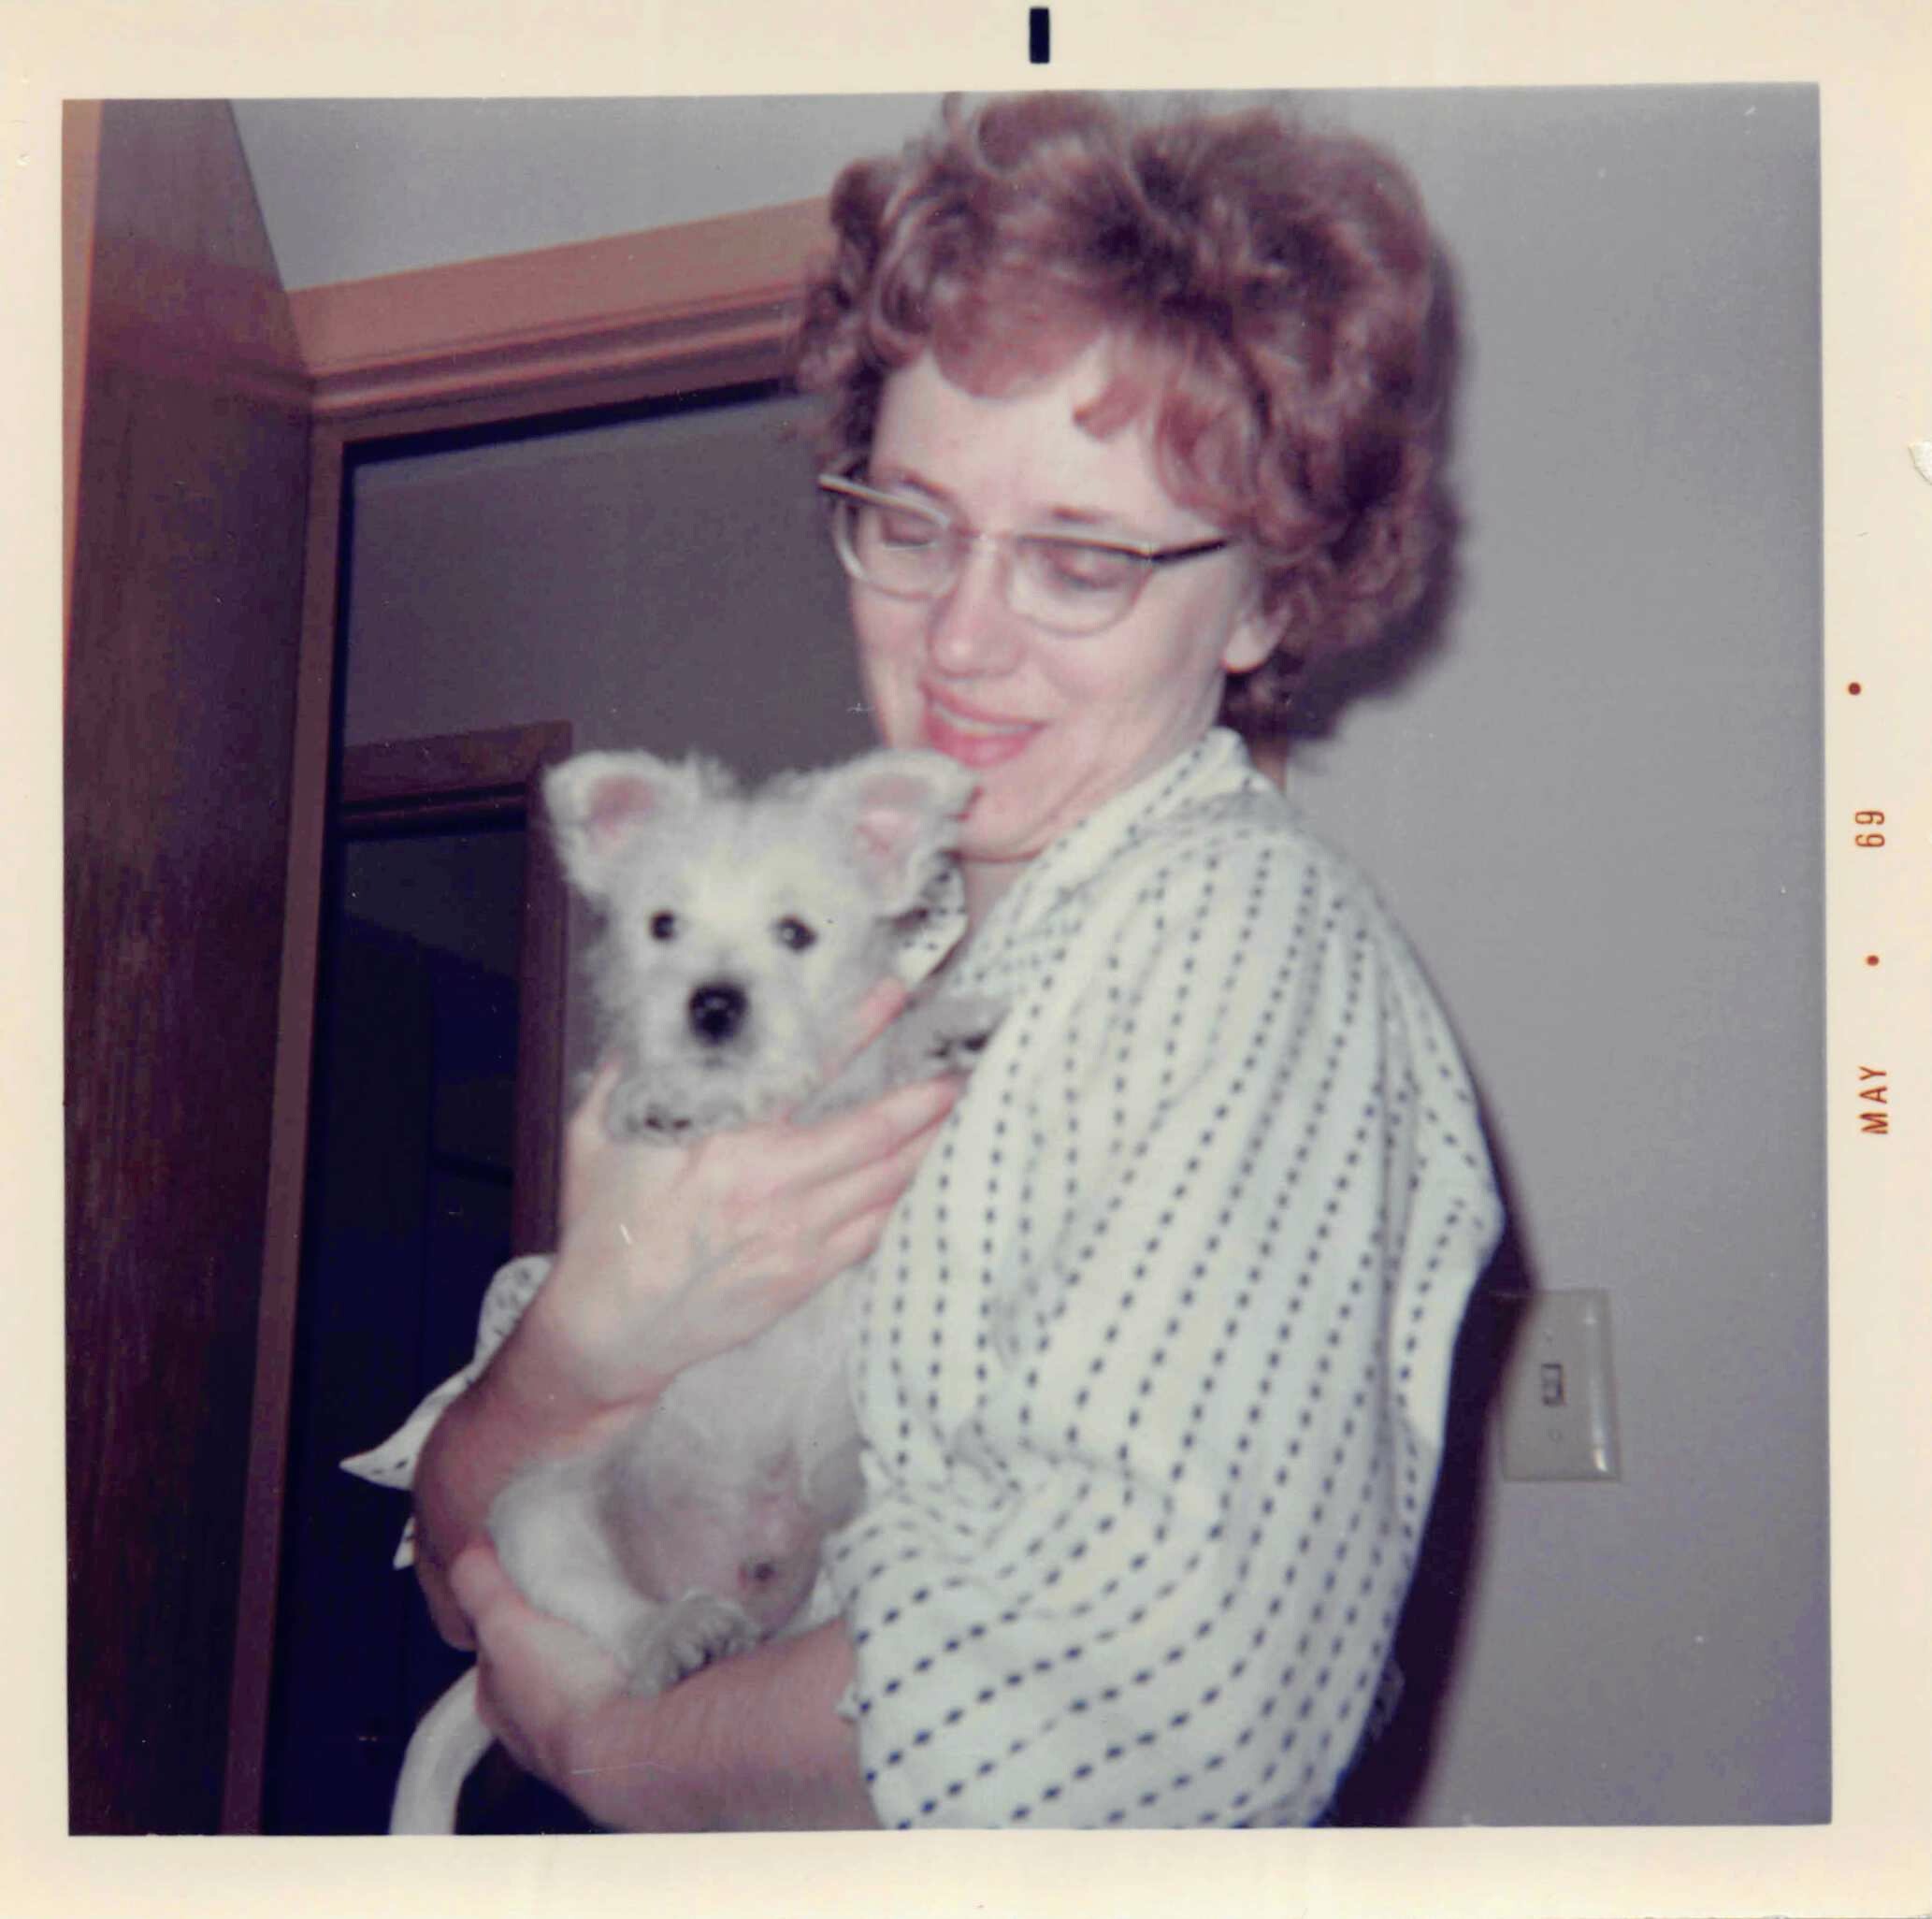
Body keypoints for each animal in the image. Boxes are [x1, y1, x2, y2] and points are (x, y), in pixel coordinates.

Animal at [387, 746, 995, 1833]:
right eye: (661, 925)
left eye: (796, 933)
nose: (713, 1005)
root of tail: (731, 1585)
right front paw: (666, 1096)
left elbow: (853, 1072)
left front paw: (930, 1033)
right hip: (540, 1516)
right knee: (607, 1607)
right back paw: (676, 1633)